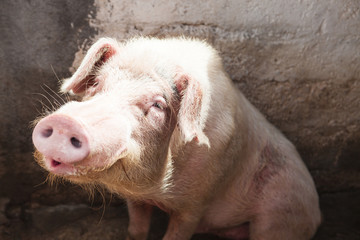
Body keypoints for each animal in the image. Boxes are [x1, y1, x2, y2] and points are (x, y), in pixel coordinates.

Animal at [32, 36, 322, 239]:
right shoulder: (135, 198)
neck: (156, 191)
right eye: (96, 84)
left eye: (158, 105)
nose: (65, 122)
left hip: (281, 215)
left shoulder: (196, 204)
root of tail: (317, 211)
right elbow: (137, 229)